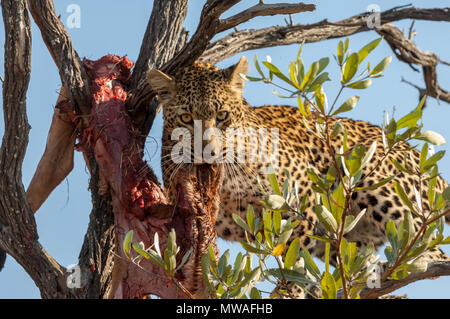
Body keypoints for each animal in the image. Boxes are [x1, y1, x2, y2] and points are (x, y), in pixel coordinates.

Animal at [148, 56, 450, 298]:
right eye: (186, 118)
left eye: (222, 115)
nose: (207, 149)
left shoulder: (299, 196)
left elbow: (295, 253)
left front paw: (288, 291)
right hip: (348, 237)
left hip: (377, 182)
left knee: (430, 247)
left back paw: (401, 266)